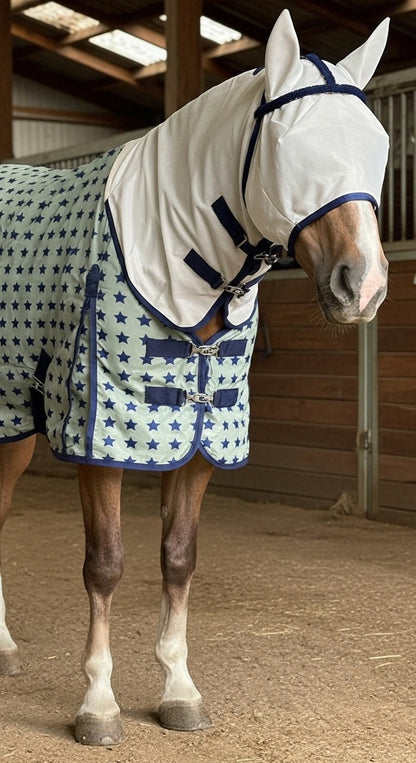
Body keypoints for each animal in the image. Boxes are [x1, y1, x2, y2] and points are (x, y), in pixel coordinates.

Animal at [0, 9, 390, 746]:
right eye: (291, 150)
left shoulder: (206, 437)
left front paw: (179, 691)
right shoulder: (103, 440)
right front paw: (98, 705)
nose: (365, 285)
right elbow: (106, 563)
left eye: (377, 147)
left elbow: (179, 557)